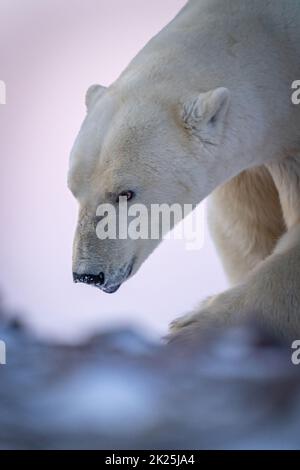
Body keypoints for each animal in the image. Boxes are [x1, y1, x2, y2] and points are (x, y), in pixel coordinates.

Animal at [68, 0, 300, 340]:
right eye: (74, 191)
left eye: (126, 193)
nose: (88, 274)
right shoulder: (250, 167)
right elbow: (245, 229)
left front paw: (191, 326)